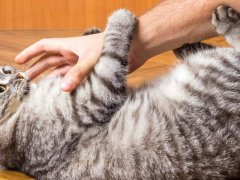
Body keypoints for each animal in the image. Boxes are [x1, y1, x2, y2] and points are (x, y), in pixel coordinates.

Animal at [0, 4, 239, 179]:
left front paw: (93, 34)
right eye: (1, 88)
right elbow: (113, 50)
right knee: (233, 45)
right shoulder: (97, 94)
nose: (14, 74)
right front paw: (120, 19)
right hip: (218, 65)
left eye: (3, 69)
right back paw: (225, 19)